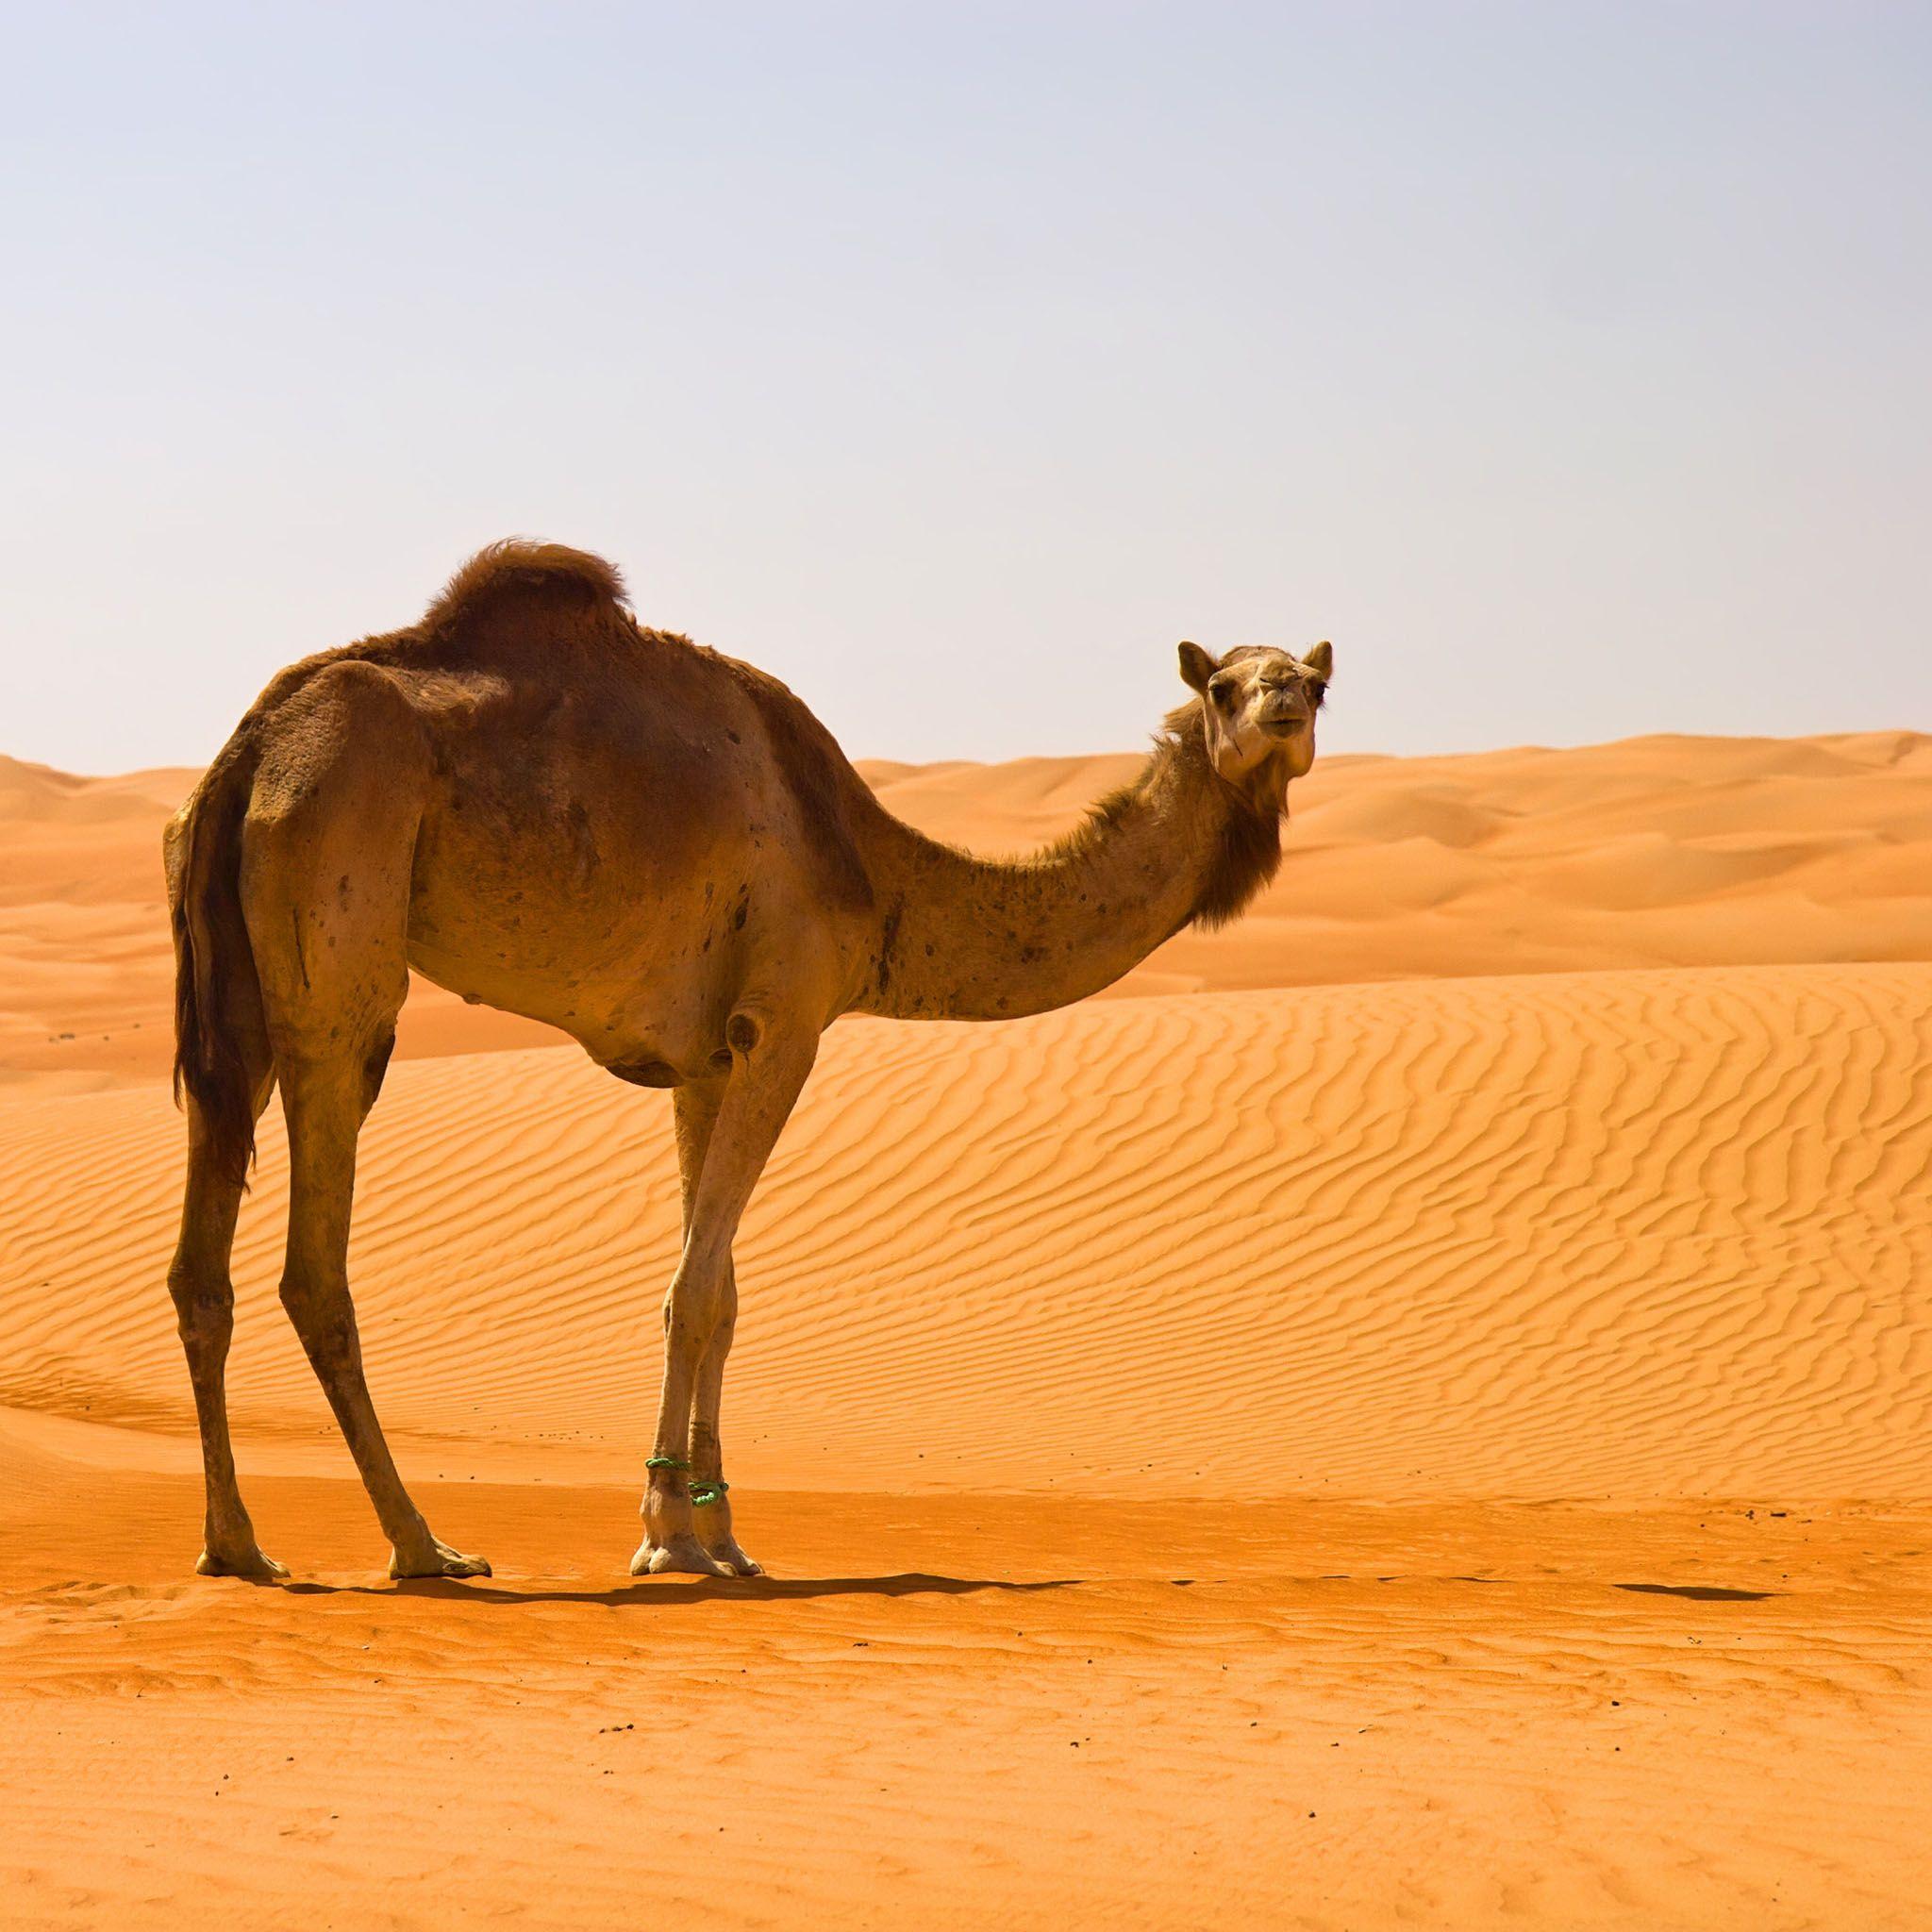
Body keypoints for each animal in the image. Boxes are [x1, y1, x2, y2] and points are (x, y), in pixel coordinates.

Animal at [165, 541, 1332, 1582]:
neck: (873, 872)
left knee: (201, 1264)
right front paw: (664, 1537)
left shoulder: (703, 1061)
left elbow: (720, 1292)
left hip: (235, 992)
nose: (1282, 704)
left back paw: (238, 1545)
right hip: (340, 929)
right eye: (1223, 684)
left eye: (1317, 681)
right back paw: (423, 1545)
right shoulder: (785, 1022)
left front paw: (718, 1532)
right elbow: (690, 1287)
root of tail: (251, 748)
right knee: (315, 1265)